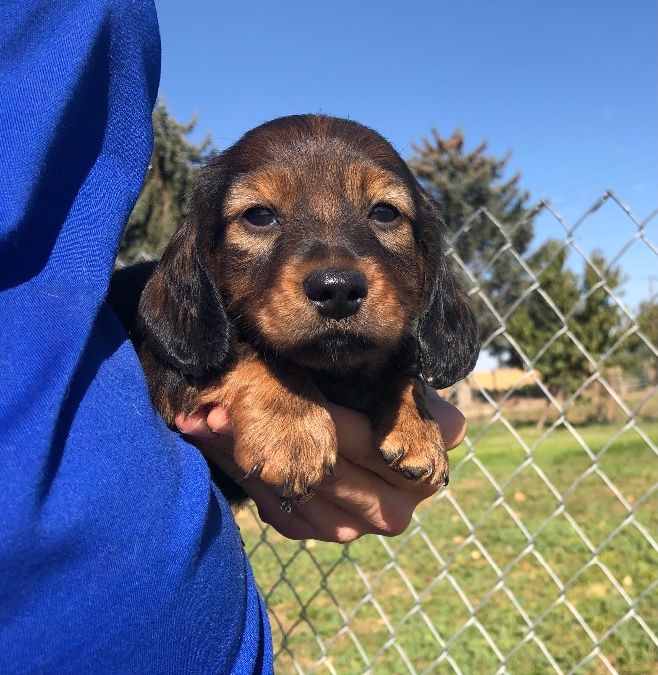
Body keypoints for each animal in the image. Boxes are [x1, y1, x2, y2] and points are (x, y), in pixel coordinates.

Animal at [115, 115, 480, 502]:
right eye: (259, 215)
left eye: (385, 212)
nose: (338, 290)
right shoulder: (161, 371)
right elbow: (248, 351)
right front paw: (292, 428)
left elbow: (400, 367)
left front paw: (417, 427)